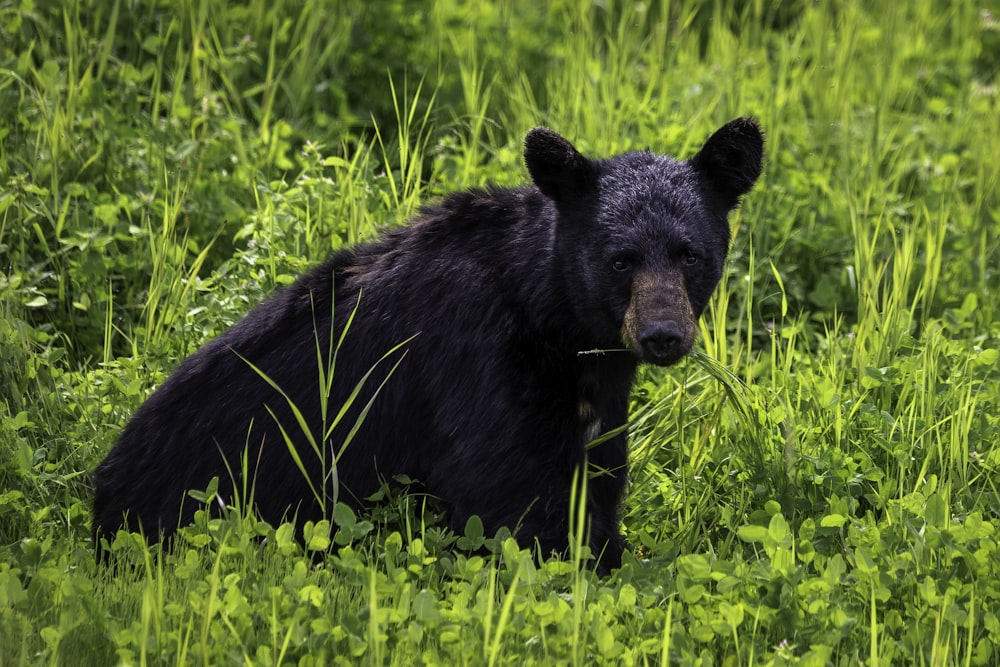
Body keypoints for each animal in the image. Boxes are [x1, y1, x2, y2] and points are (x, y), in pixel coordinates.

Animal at [95, 117, 764, 572]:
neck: (553, 321)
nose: (662, 335)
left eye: (690, 254)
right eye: (620, 259)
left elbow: (595, 476)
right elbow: (513, 500)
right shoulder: (478, 362)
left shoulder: (595, 397)